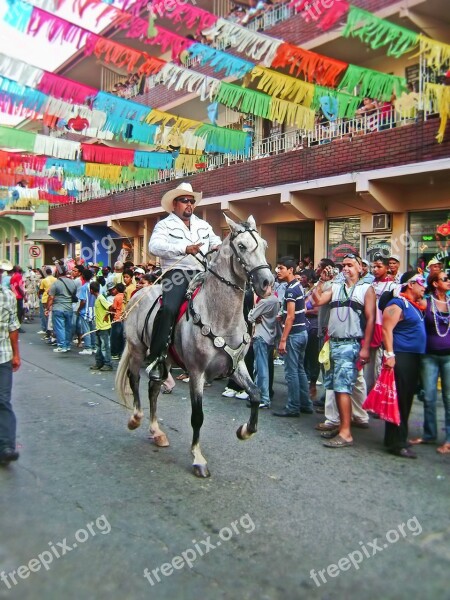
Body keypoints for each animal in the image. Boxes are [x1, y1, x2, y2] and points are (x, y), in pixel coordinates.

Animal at [114, 216, 272, 478]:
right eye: (241, 246)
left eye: (264, 245)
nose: (267, 282)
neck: (220, 316)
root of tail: (140, 292)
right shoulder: (197, 372)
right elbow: (197, 416)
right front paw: (198, 459)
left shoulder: (237, 366)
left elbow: (256, 394)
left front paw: (244, 431)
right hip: (137, 349)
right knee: (134, 379)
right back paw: (135, 419)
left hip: (165, 358)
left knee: (153, 388)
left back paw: (156, 432)